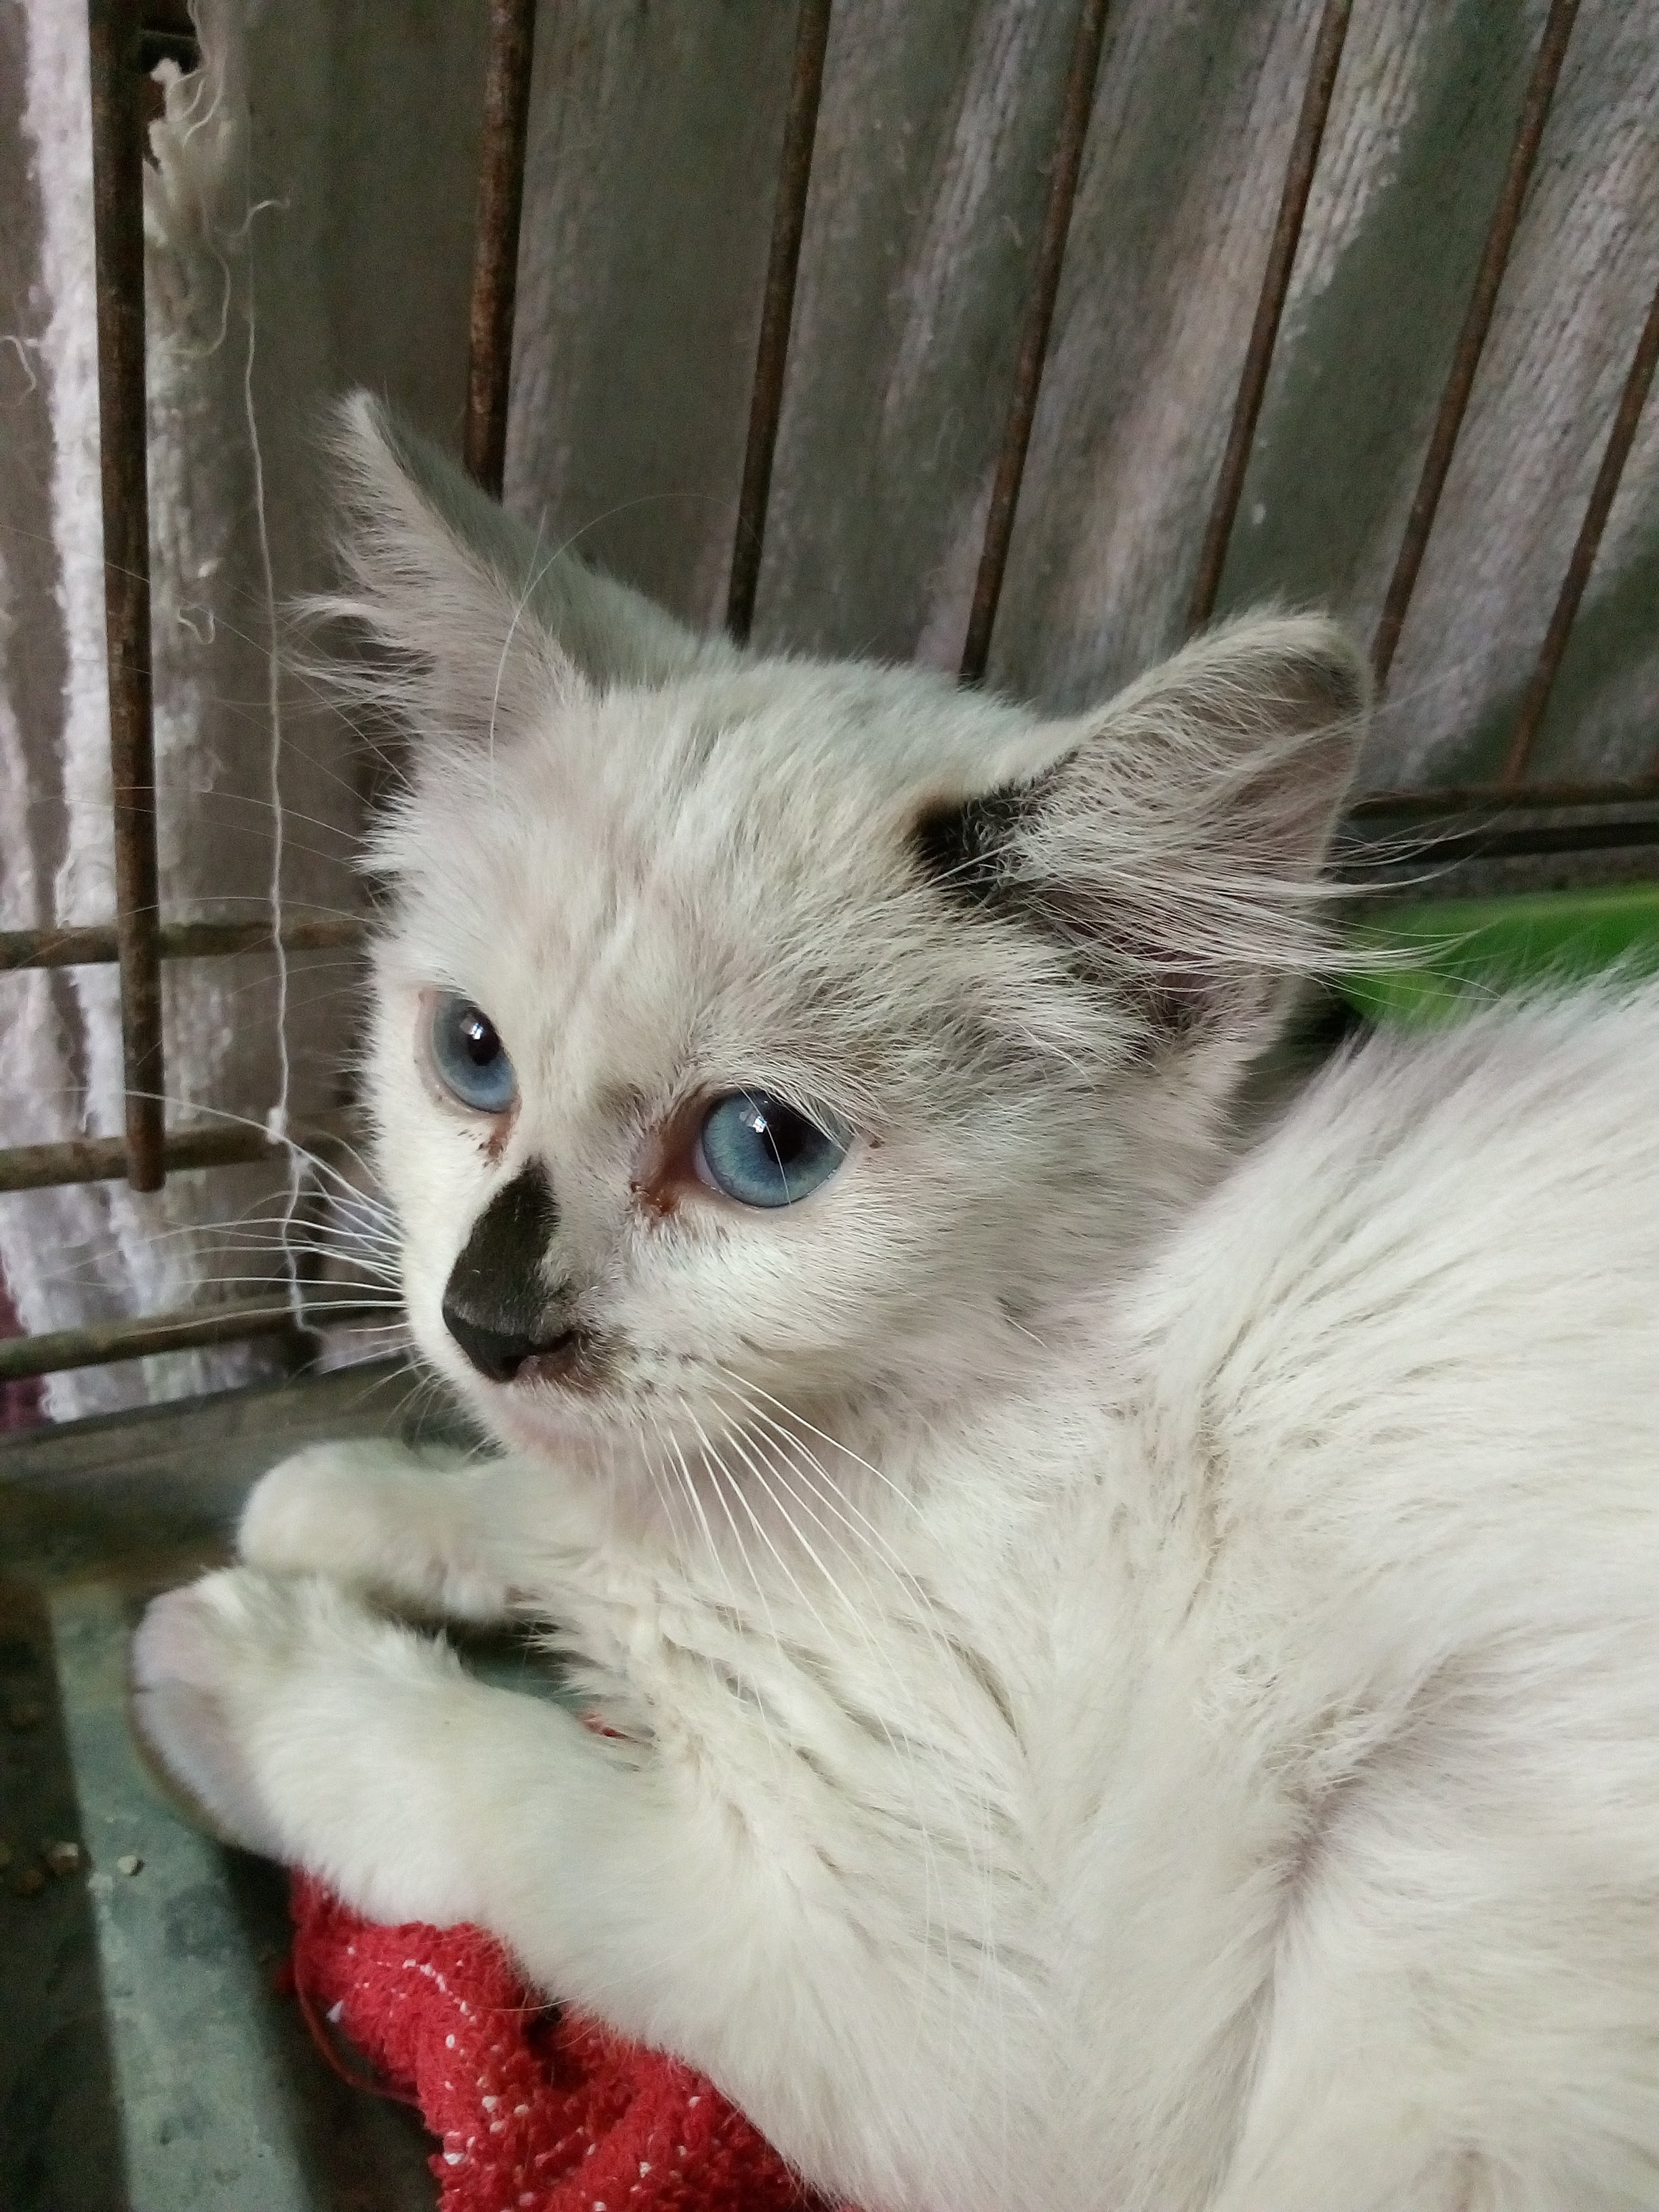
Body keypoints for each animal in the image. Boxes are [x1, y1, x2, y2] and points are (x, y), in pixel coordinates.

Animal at [133, 394, 1659, 2212]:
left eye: (761, 1150)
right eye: (470, 1057)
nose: (487, 1317)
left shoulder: (966, 2039)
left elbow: (505, 1792)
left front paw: (257, 1676)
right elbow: (551, 1510)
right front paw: (357, 1501)